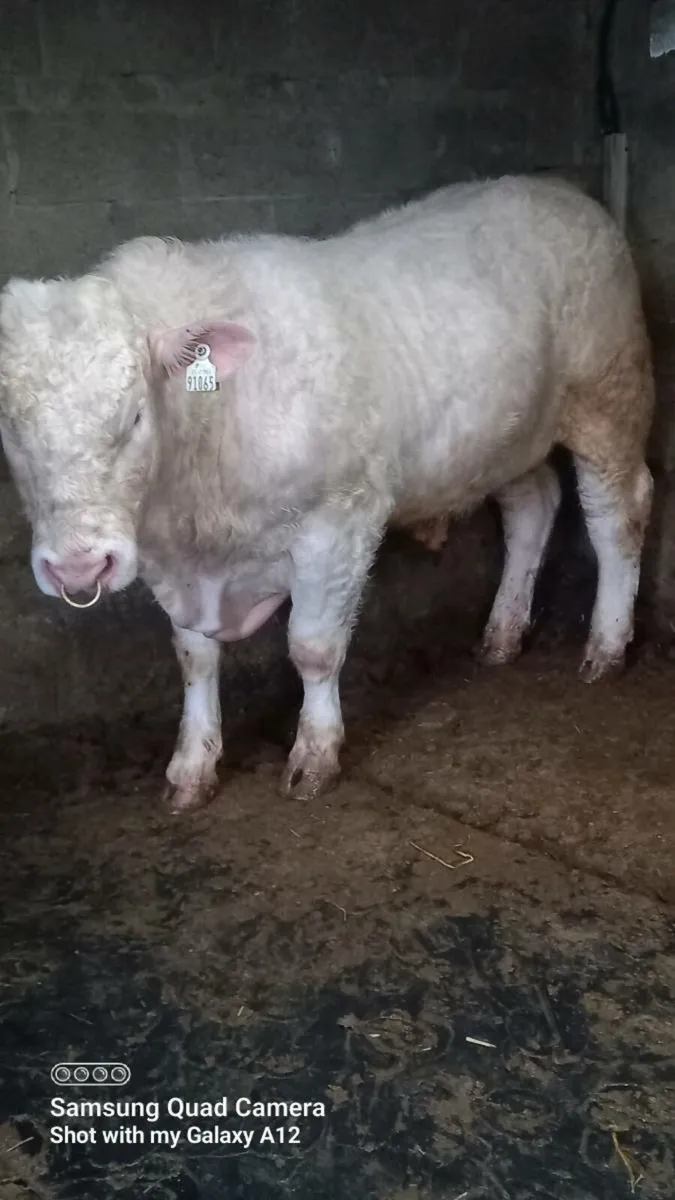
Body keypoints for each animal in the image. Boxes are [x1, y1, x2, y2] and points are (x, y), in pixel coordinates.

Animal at [0, 175, 654, 812]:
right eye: (10, 425)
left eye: (135, 416)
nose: (79, 568)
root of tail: (557, 188)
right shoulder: (173, 556)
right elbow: (195, 657)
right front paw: (192, 766)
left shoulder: (339, 519)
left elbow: (312, 646)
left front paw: (314, 755)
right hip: (506, 435)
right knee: (531, 507)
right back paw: (503, 634)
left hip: (608, 396)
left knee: (618, 513)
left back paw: (605, 645)